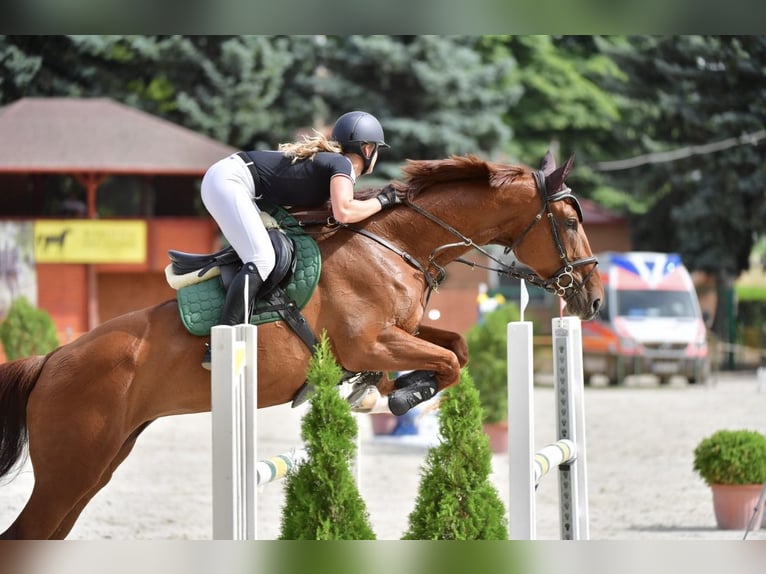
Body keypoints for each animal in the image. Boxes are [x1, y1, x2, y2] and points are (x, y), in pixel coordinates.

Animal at [1, 150, 608, 540]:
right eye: (568, 220)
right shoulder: (370, 343)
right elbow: (446, 362)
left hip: (98, 465)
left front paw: (385, 391)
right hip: (73, 468)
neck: (396, 244)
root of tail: (51, 360)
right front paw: (402, 394)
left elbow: (454, 347)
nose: (593, 300)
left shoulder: (399, 334)